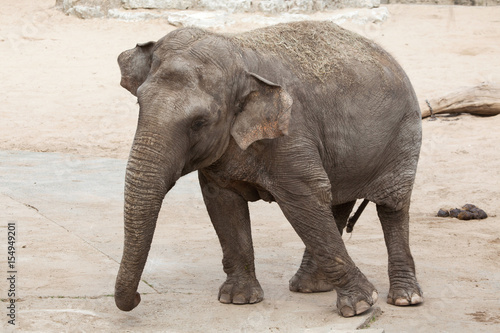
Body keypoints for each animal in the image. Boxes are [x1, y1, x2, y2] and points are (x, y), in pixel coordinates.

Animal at [115, 20, 424, 316]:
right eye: (139, 102)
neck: (240, 52)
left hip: (403, 136)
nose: (139, 297)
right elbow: (223, 205)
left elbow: (305, 200)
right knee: (338, 202)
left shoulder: (293, 132)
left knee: (392, 207)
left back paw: (405, 298)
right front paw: (238, 299)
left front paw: (361, 305)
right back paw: (310, 286)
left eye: (200, 122)